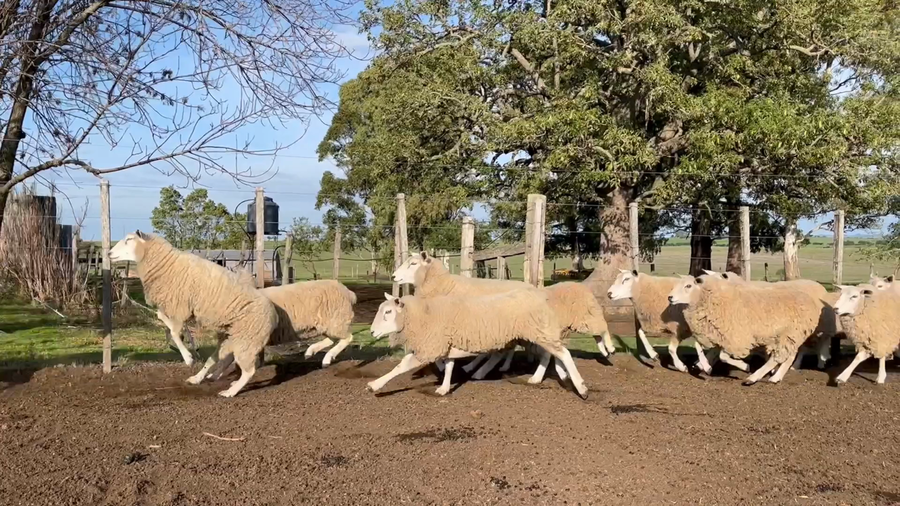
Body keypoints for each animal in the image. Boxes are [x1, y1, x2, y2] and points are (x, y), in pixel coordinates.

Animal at [108, 231, 277, 397]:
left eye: (129, 239)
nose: (109, 253)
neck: (167, 263)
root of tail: (274, 315)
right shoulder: (175, 308)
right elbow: (161, 317)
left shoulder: (180, 307)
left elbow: (174, 333)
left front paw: (188, 358)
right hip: (233, 335)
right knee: (224, 358)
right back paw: (202, 378)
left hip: (248, 340)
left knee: (249, 371)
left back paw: (229, 392)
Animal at [367, 291, 588, 399]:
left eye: (388, 312)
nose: (371, 332)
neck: (424, 314)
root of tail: (542, 298)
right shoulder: (446, 342)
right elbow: (449, 365)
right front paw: (444, 388)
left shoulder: (432, 344)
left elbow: (401, 365)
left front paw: (375, 385)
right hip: (533, 333)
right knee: (549, 354)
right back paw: (540, 377)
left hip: (536, 331)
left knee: (563, 353)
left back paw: (581, 387)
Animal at [668, 274, 825, 385]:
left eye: (688, 286)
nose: (670, 297)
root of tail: (810, 301)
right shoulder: (719, 334)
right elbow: (702, 347)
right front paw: (704, 366)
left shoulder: (737, 337)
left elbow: (723, 356)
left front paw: (745, 366)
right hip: (789, 335)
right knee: (788, 356)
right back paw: (776, 377)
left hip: (789, 334)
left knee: (777, 357)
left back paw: (754, 378)